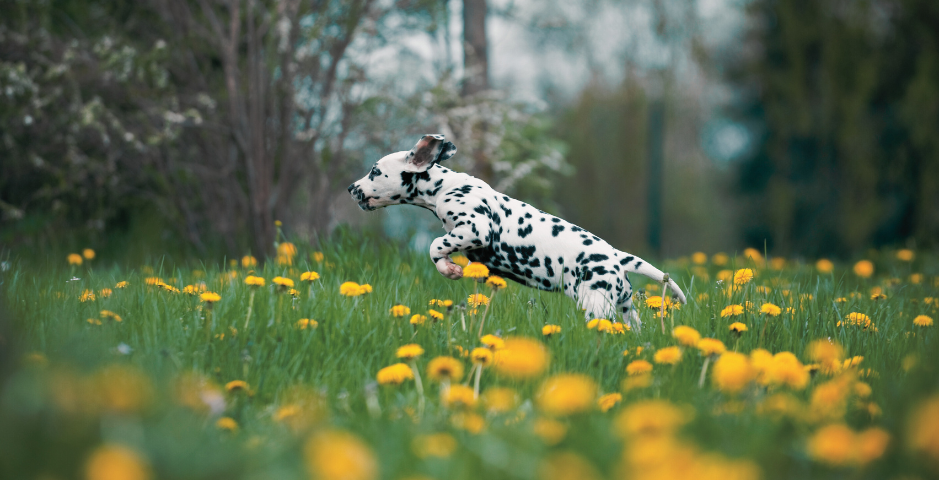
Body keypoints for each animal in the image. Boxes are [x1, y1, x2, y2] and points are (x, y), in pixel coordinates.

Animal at [348, 134, 688, 326]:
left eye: (375, 171)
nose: (351, 188)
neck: (446, 187)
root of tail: (617, 257)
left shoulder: (475, 228)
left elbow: (435, 245)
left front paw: (449, 269)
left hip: (595, 306)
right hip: (626, 310)